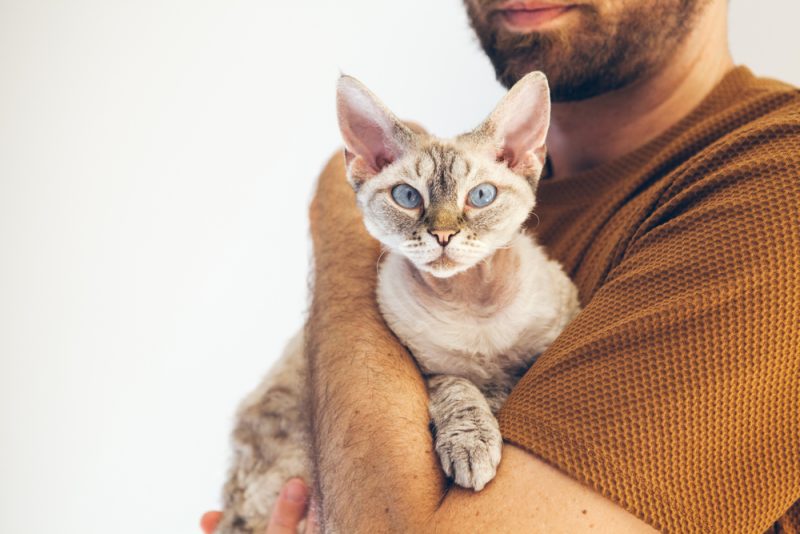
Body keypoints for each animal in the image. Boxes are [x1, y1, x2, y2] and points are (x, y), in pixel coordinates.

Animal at [217, 72, 580, 534]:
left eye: (480, 196)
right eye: (408, 197)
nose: (443, 235)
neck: (473, 305)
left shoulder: (552, 333)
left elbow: (516, 374)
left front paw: (496, 402)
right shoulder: (428, 369)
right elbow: (460, 390)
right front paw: (473, 444)